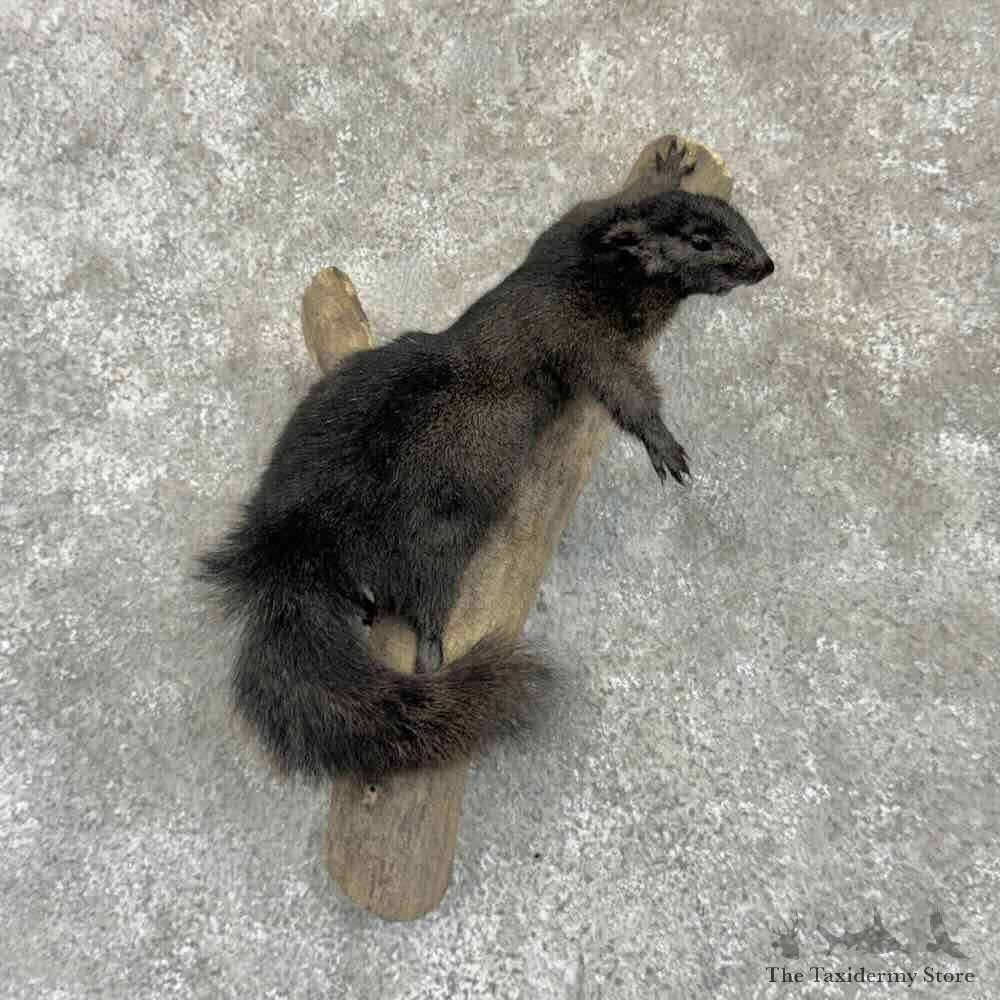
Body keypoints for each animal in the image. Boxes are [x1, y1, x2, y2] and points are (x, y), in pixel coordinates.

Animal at [198, 140, 774, 780]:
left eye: (736, 218)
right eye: (699, 241)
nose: (766, 264)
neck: (595, 266)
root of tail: (303, 544)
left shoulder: (568, 229)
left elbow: (599, 200)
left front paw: (667, 166)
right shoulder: (585, 341)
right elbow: (628, 393)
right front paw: (664, 443)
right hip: (439, 536)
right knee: (417, 599)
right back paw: (429, 649)